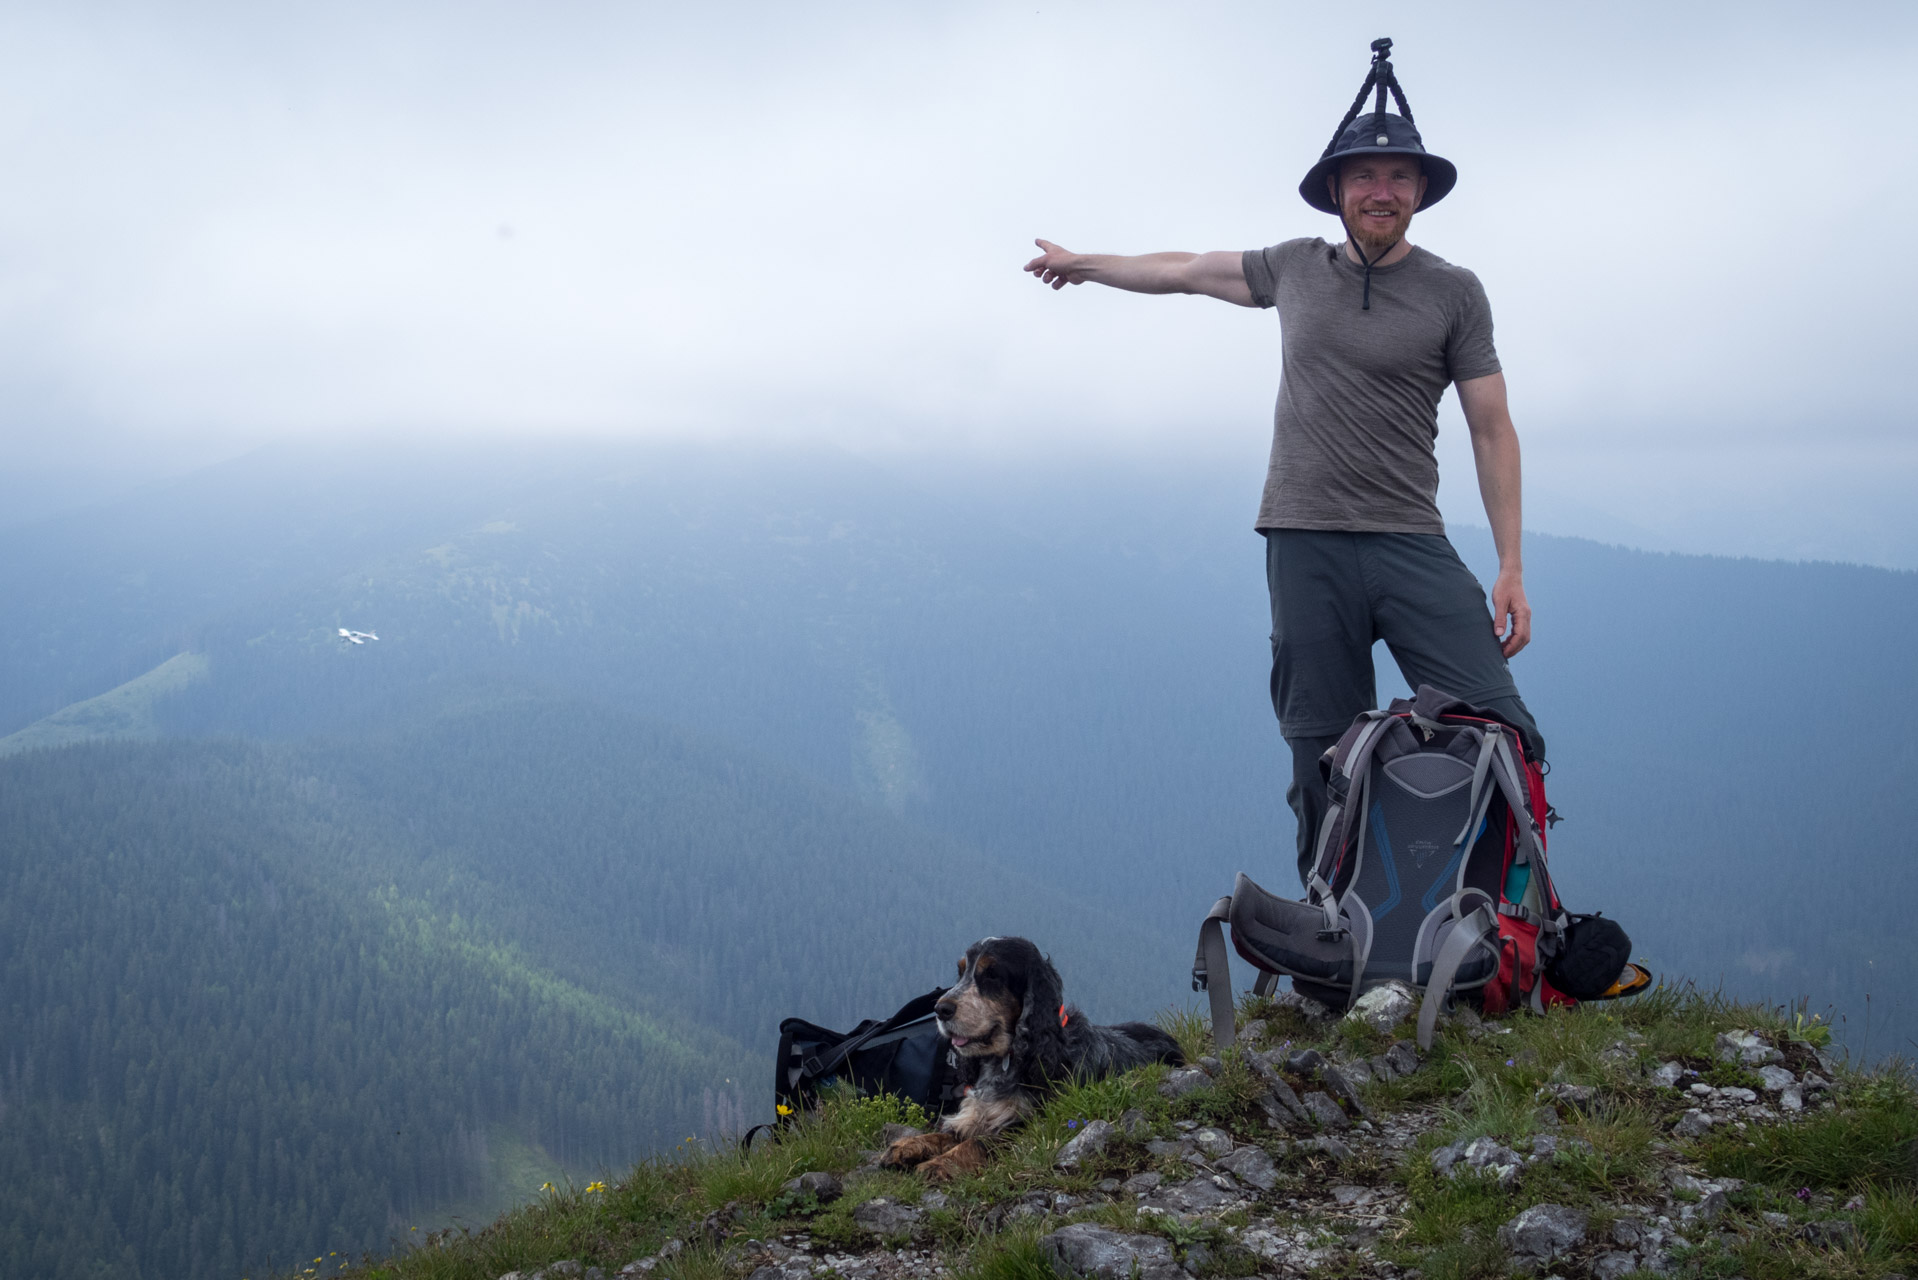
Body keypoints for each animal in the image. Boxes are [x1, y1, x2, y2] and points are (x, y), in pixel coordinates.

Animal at [882, 932, 1181, 1182]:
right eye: (960, 972)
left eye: (992, 975)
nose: (940, 1009)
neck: (1006, 1060)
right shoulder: (975, 1114)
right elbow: (945, 1133)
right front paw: (906, 1146)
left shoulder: (1029, 1126)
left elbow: (979, 1142)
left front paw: (939, 1164)